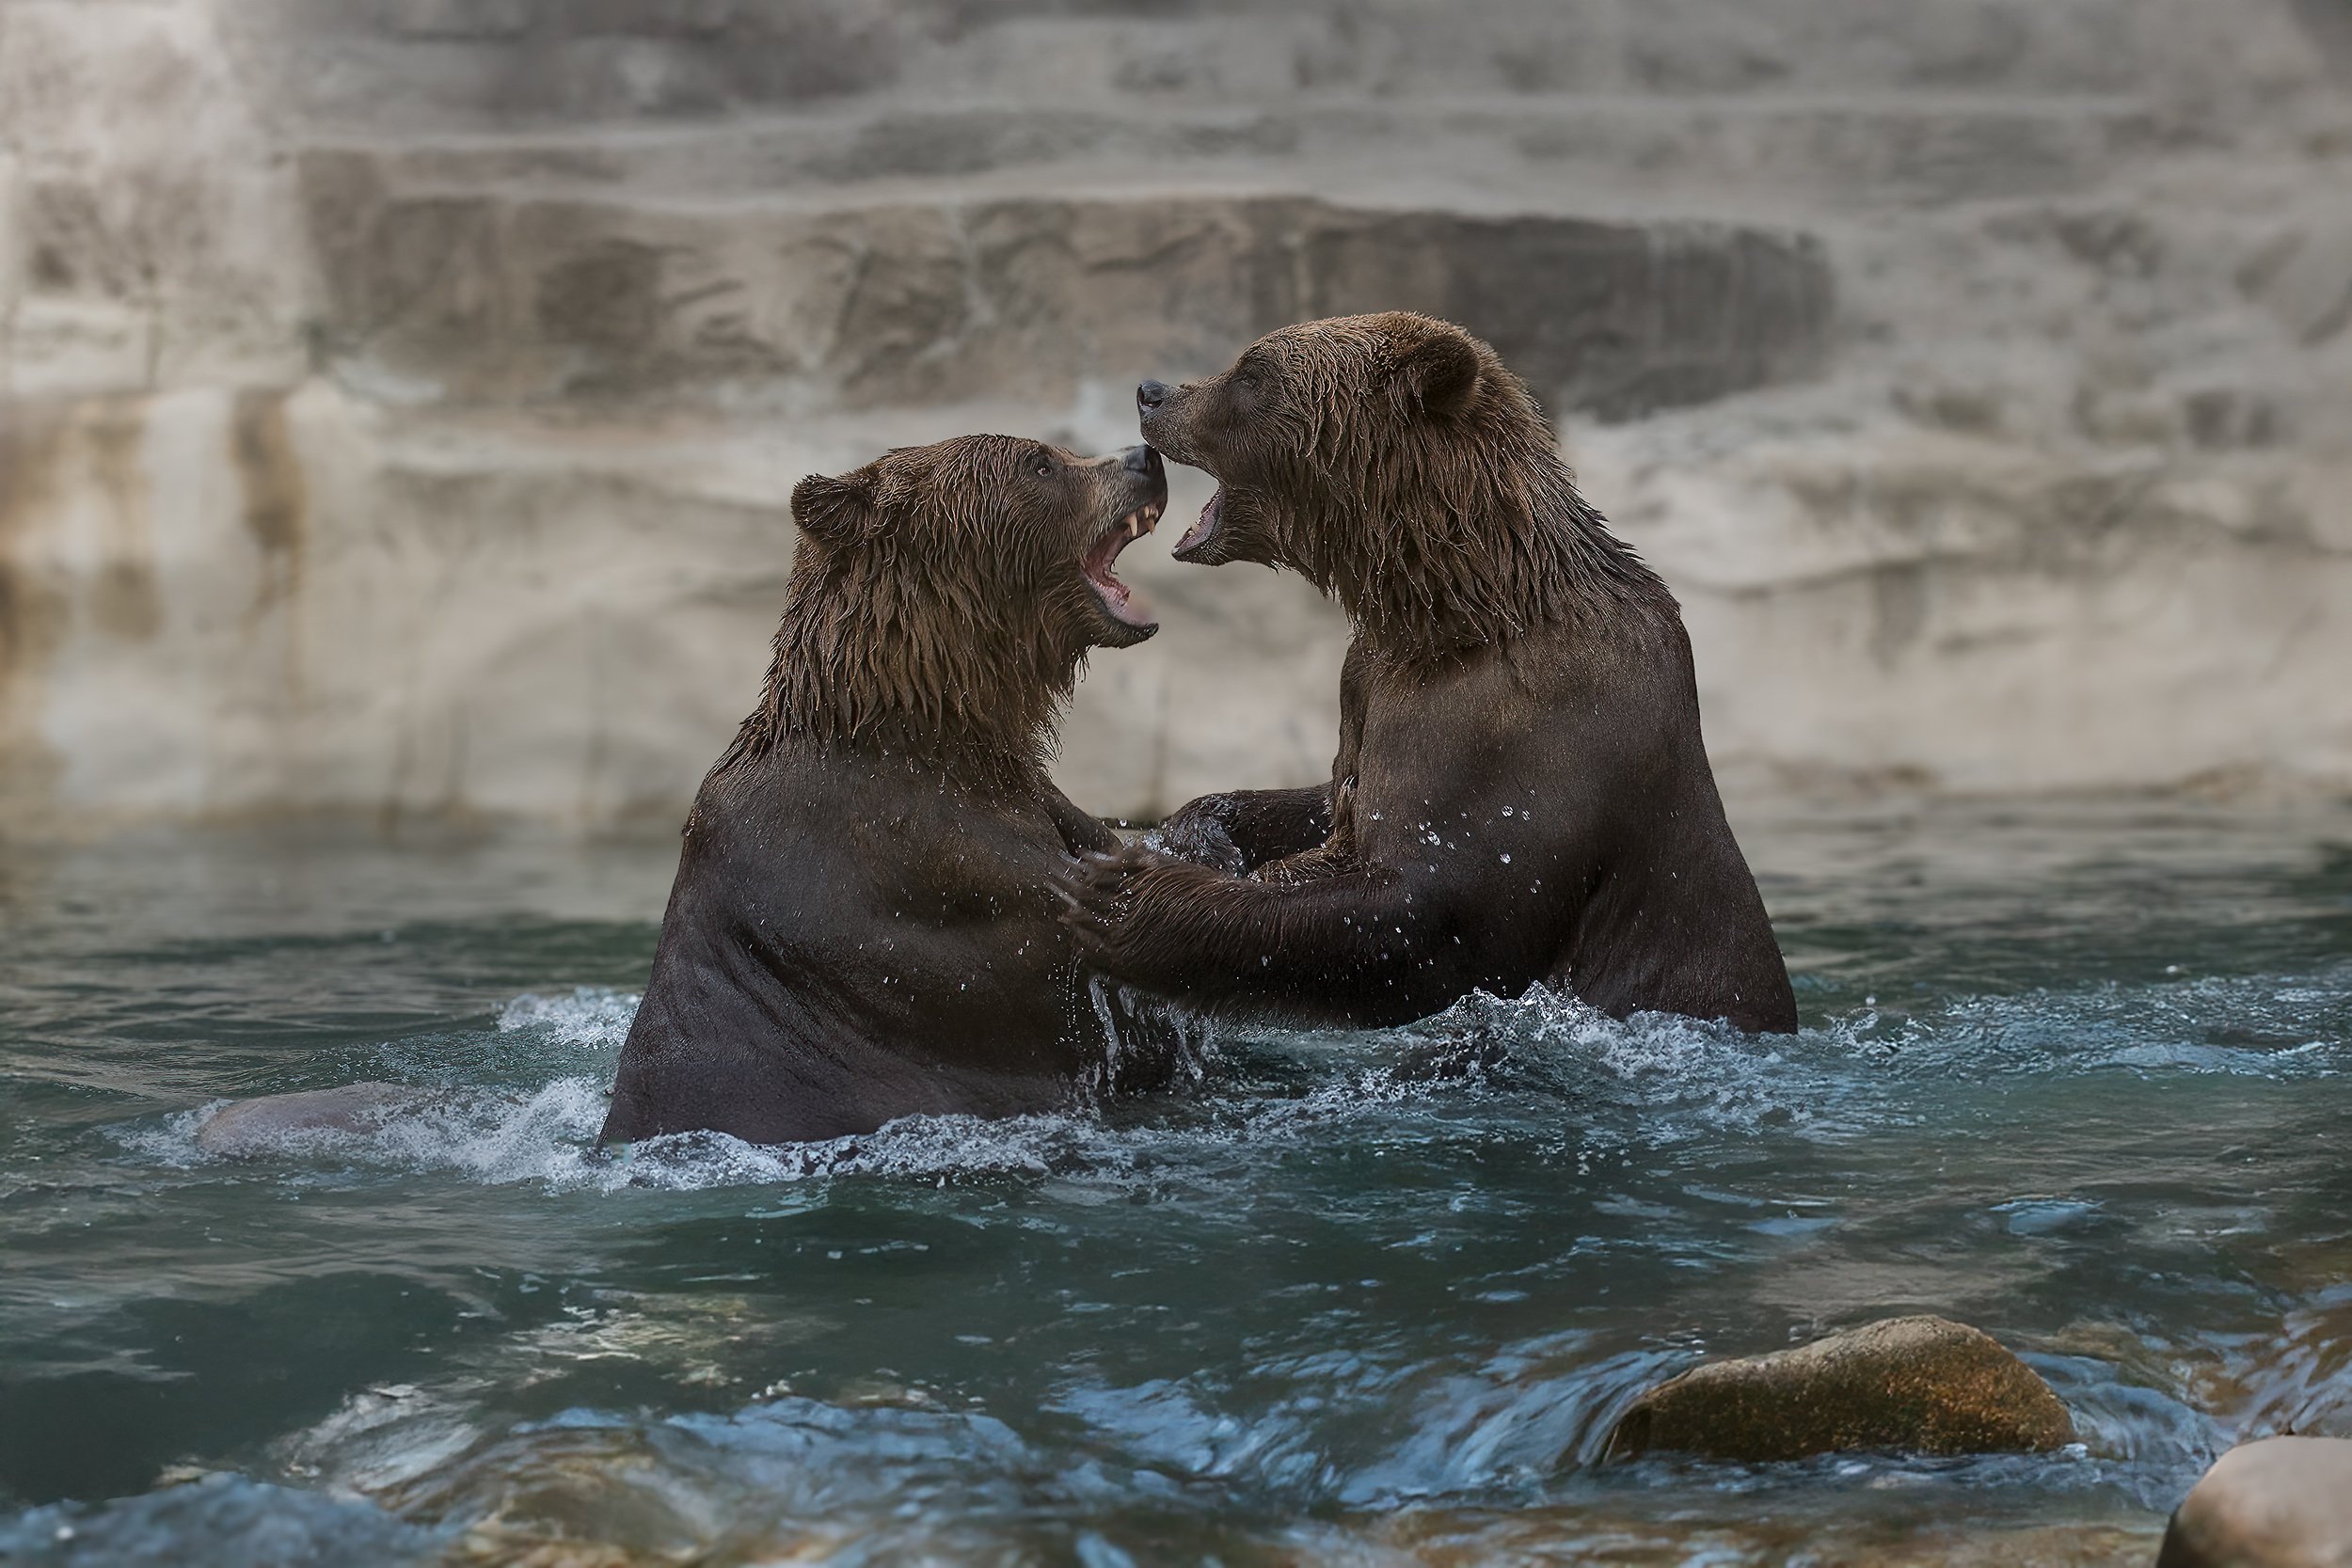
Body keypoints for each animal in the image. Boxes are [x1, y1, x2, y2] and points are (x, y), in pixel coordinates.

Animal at [1054, 312, 1798, 1035]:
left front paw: (1123, 893)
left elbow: (1427, 916)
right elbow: (1331, 803)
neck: (1453, 611)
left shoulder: (1531, 735)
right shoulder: (1370, 689)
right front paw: (1192, 830)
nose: (1151, 393)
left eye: (1252, 372)